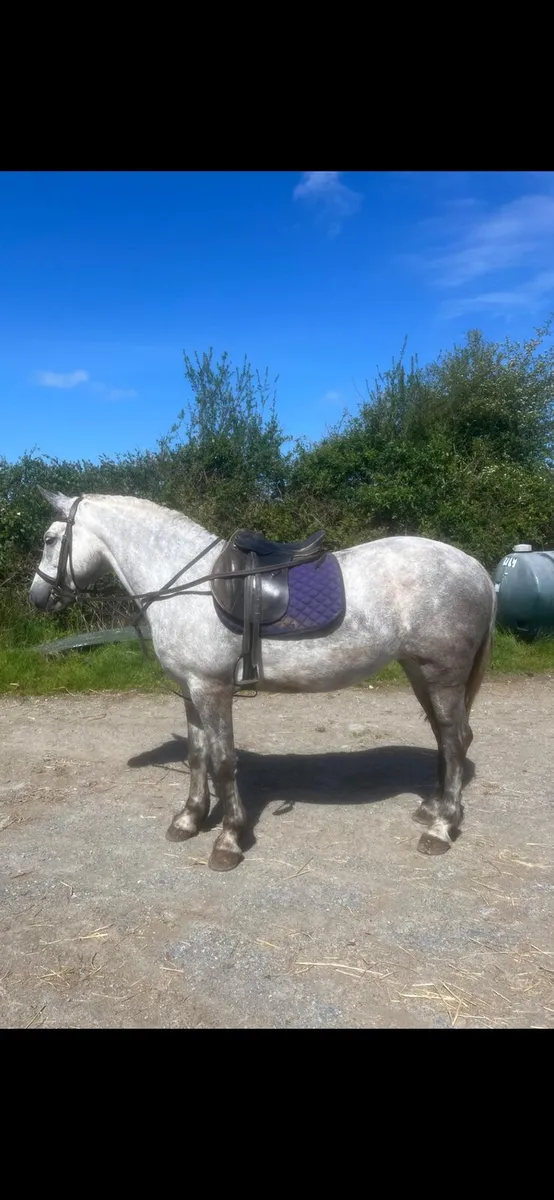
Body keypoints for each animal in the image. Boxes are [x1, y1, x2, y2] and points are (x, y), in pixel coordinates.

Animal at [29, 489, 496, 872]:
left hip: (442, 674)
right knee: (446, 737)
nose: (36, 597)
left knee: (455, 739)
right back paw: (432, 808)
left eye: (50, 539)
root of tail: (475, 568)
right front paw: (188, 819)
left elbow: (223, 762)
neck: (189, 587)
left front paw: (228, 840)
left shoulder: (212, 689)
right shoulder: (190, 691)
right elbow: (198, 756)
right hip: (420, 671)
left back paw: (440, 828)